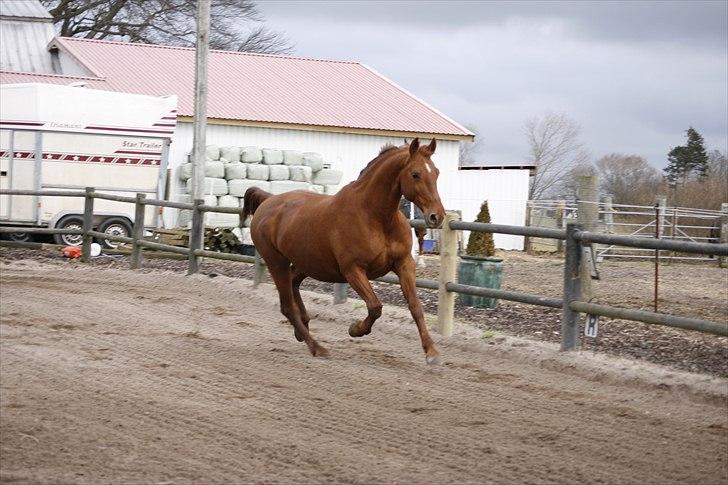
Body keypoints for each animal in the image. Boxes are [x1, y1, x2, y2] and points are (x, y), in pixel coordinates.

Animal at [243, 138, 444, 362]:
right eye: (415, 174)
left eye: (436, 172)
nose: (437, 216)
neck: (376, 217)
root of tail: (268, 201)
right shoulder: (353, 270)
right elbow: (375, 307)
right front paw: (355, 329)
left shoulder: (404, 264)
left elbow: (415, 306)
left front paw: (431, 351)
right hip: (277, 262)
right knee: (287, 307)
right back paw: (317, 347)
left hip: (307, 262)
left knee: (294, 283)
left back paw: (303, 327)